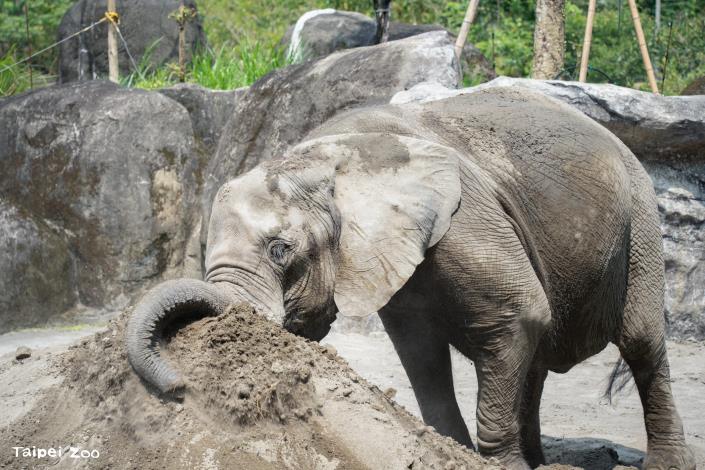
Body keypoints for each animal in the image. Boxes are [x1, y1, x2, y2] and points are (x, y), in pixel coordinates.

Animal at [127, 87, 695, 470]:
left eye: (280, 250)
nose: (178, 387)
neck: (320, 158)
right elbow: (420, 351)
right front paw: (453, 454)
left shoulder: (466, 219)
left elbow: (520, 313)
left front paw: (496, 464)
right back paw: (540, 461)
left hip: (640, 217)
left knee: (640, 341)